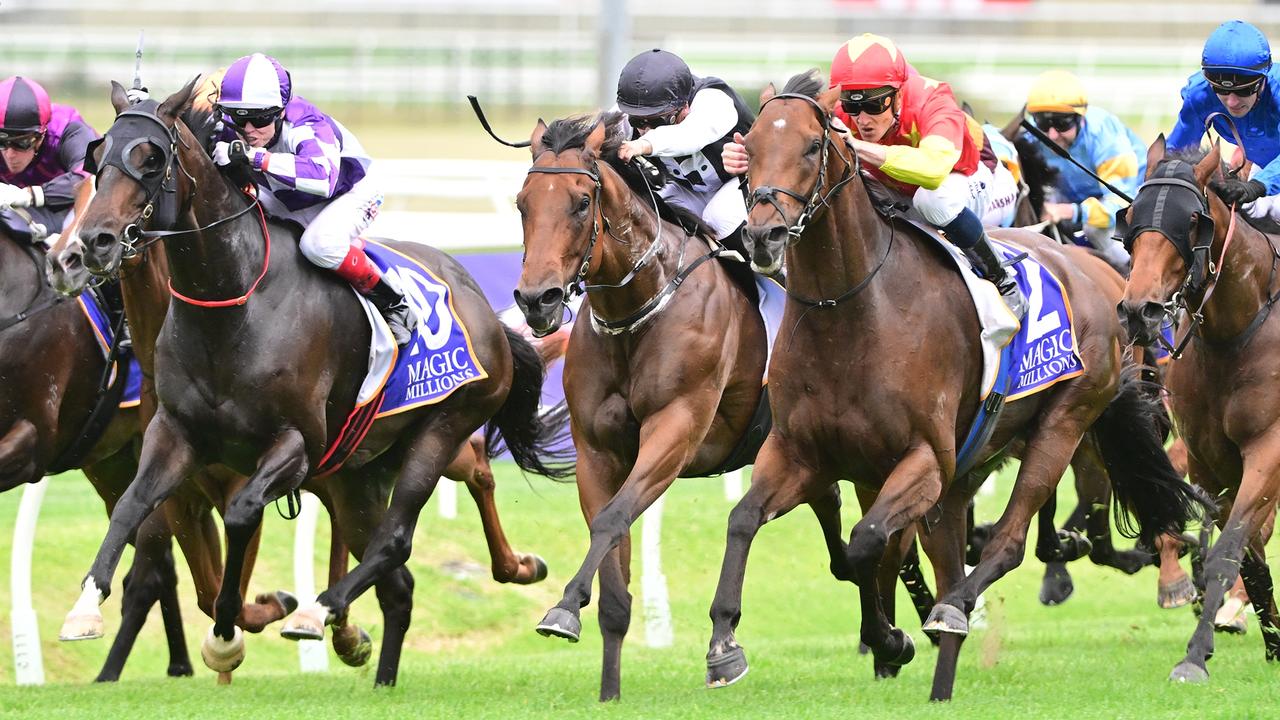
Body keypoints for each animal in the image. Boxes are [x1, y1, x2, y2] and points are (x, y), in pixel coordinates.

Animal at [58, 78, 560, 681]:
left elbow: (242, 514)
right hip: (360, 473)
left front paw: (229, 633)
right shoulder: (175, 433)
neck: (233, 305)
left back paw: (320, 612)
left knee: (398, 537)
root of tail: (482, 305)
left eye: (151, 158)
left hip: (443, 427)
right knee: (397, 580)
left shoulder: (295, 445)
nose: (93, 243)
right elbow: (133, 506)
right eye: (97, 157)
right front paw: (85, 608)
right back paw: (380, 673)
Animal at [706, 75, 1203, 696]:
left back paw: (957, 607)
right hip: (971, 468)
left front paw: (889, 639)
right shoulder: (802, 453)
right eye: (749, 146)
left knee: (1010, 540)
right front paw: (724, 644)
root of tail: (1101, 275)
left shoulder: (925, 460)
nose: (763, 235)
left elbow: (865, 543)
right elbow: (747, 520)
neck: (851, 315)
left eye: (812, 147)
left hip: (1063, 422)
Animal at [1116, 139, 1280, 676]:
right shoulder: (1212, 461)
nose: (1139, 310)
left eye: (1191, 221)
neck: (1236, 332)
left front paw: (1195, 654)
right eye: (1132, 216)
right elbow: (1247, 553)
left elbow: (1229, 548)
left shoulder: (1268, 449)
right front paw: (1271, 641)